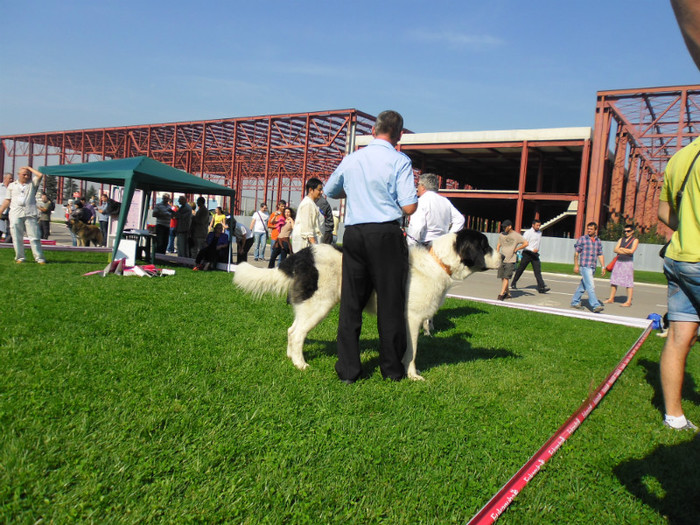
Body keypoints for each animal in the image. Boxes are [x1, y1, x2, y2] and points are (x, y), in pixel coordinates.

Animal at [237, 229, 504, 380]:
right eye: (485, 246)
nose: (503, 257)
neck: (439, 262)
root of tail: (301, 254)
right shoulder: (412, 318)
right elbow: (413, 351)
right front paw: (412, 375)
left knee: (291, 330)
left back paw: (291, 357)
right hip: (318, 304)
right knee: (297, 333)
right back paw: (300, 364)